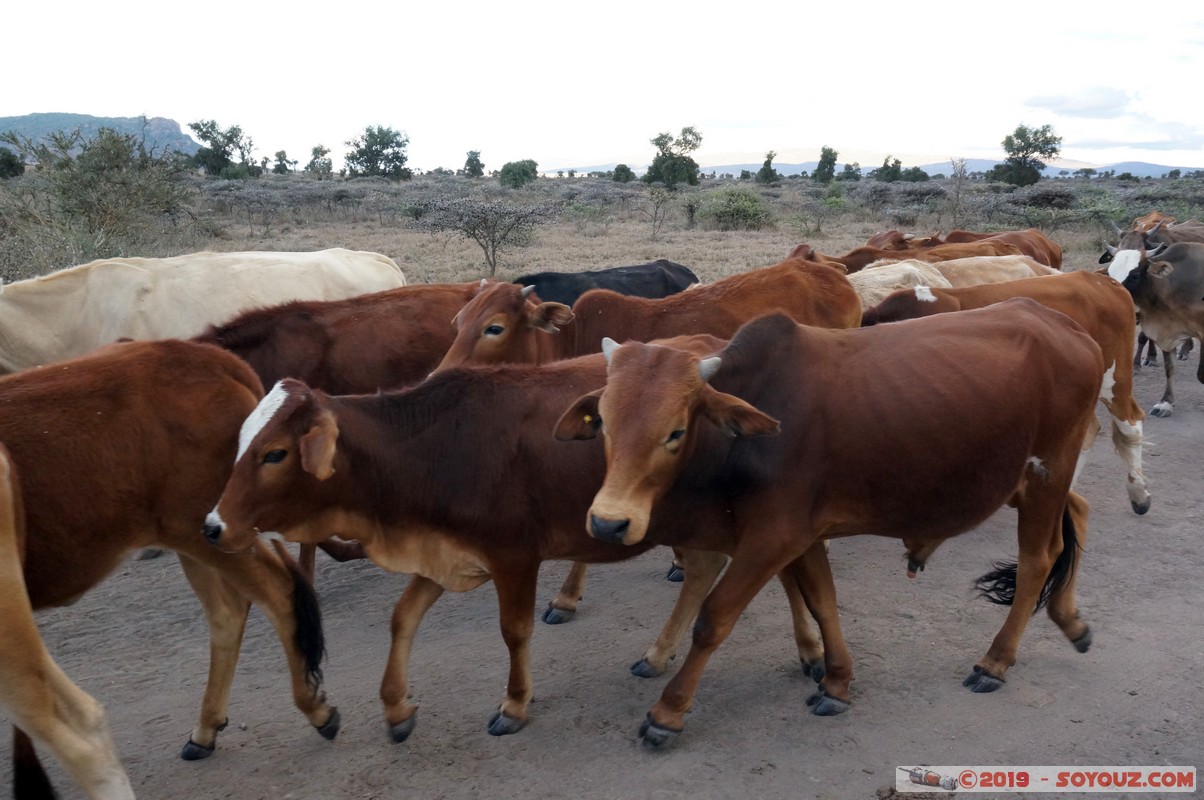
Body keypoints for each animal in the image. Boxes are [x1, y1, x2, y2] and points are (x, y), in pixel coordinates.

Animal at [199, 345, 827, 744]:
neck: (432, 447)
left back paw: (812, 652)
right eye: (242, 441)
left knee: (783, 571)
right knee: (704, 571)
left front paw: (514, 705)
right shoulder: (443, 550)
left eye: (275, 453)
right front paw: (397, 706)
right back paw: (659, 654)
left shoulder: (514, 556)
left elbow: (514, 631)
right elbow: (403, 618)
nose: (212, 525)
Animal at [558, 303, 1105, 747]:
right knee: (1077, 515)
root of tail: (1068, 327)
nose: (608, 523)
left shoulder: (773, 536)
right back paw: (1070, 620)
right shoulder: (804, 535)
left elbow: (714, 618)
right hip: (1030, 485)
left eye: (675, 431)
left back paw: (995, 661)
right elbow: (822, 601)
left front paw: (667, 714)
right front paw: (837, 681)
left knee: (1038, 560)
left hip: (1047, 473)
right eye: (604, 422)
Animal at [1106, 242, 1204, 416]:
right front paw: (1166, 403)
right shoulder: (1167, 335)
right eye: (1110, 273)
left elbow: (1201, 375)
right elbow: (1169, 369)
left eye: (1135, 275)